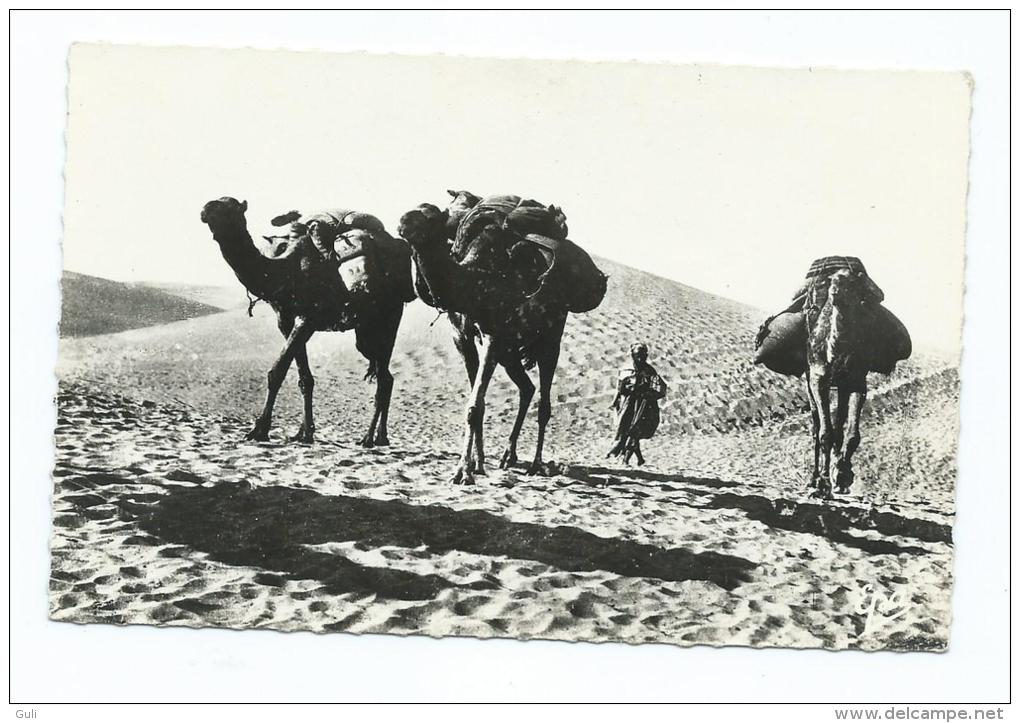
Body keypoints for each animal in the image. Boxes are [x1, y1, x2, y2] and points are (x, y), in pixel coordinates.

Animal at [199, 197, 414, 444]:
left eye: (230, 207)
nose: (204, 210)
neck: (285, 270)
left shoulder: (308, 318)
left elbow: (277, 372)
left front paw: (259, 430)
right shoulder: (285, 319)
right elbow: (304, 378)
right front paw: (304, 432)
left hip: (389, 318)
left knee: (384, 379)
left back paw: (369, 438)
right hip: (365, 332)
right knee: (384, 375)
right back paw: (380, 436)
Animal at [803, 267, 877, 499]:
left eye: (852, 282)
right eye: (832, 280)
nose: (834, 292)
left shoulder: (856, 382)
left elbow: (852, 435)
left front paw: (843, 476)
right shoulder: (818, 378)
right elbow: (824, 433)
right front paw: (824, 483)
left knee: (839, 424)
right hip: (808, 382)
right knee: (817, 425)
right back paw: (813, 479)